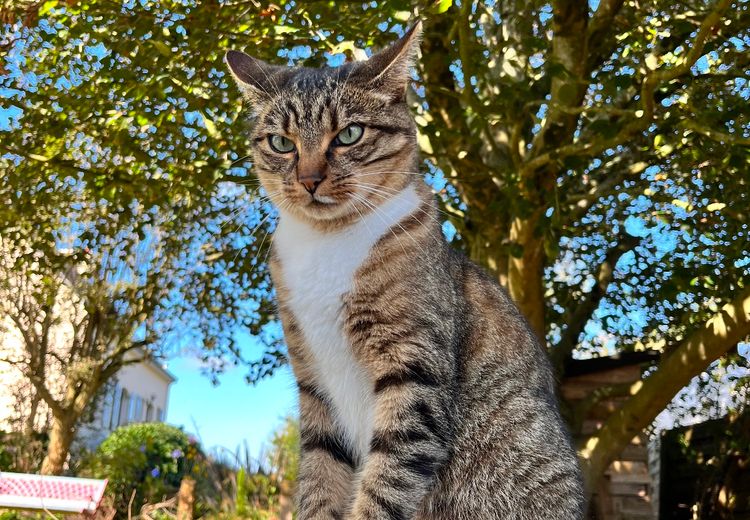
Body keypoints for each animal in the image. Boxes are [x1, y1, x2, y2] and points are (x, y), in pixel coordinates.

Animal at [223, 21, 588, 520]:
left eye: (349, 134)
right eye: (282, 143)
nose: (309, 180)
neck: (327, 243)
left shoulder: (413, 367)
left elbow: (387, 480)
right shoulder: (312, 380)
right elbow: (320, 473)